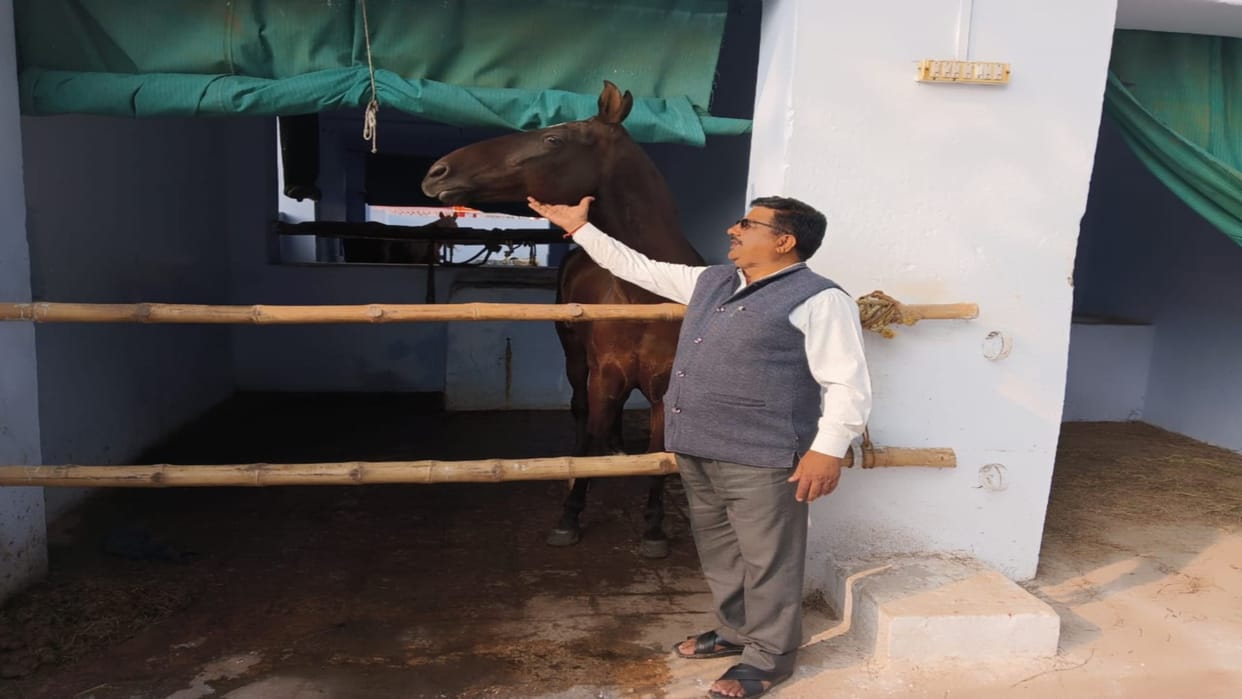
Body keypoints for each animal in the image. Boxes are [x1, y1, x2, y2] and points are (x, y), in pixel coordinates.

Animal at [421, 81, 703, 558]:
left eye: (553, 139)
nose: (438, 171)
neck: (649, 294)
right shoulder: (603, 376)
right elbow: (588, 442)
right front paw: (569, 516)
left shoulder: (665, 392)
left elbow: (658, 458)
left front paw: (653, 529)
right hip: (575, 360)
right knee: (581, 415)